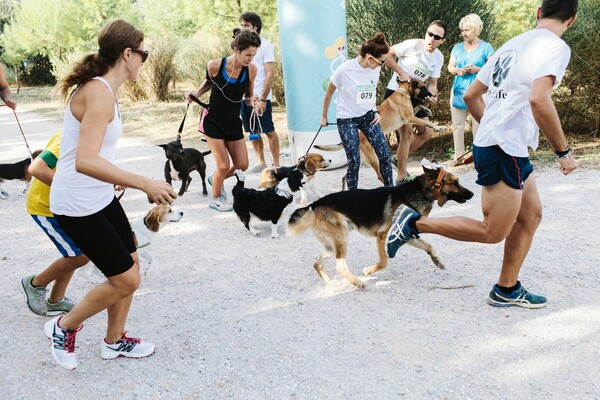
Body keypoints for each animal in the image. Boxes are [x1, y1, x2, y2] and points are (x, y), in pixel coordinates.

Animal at [286, 159, 474, 288]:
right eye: (454, 182)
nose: (473, 193)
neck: (419, 192)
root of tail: (314, 204)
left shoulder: (407, 234)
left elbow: (429, 246)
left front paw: (437, 260)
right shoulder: (381, 235)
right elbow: (384, 261)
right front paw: (369, 271)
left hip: (331, 246)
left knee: (317, 264)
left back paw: (332, 283)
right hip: (342, 239)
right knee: (340, 266)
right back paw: (358, 283)